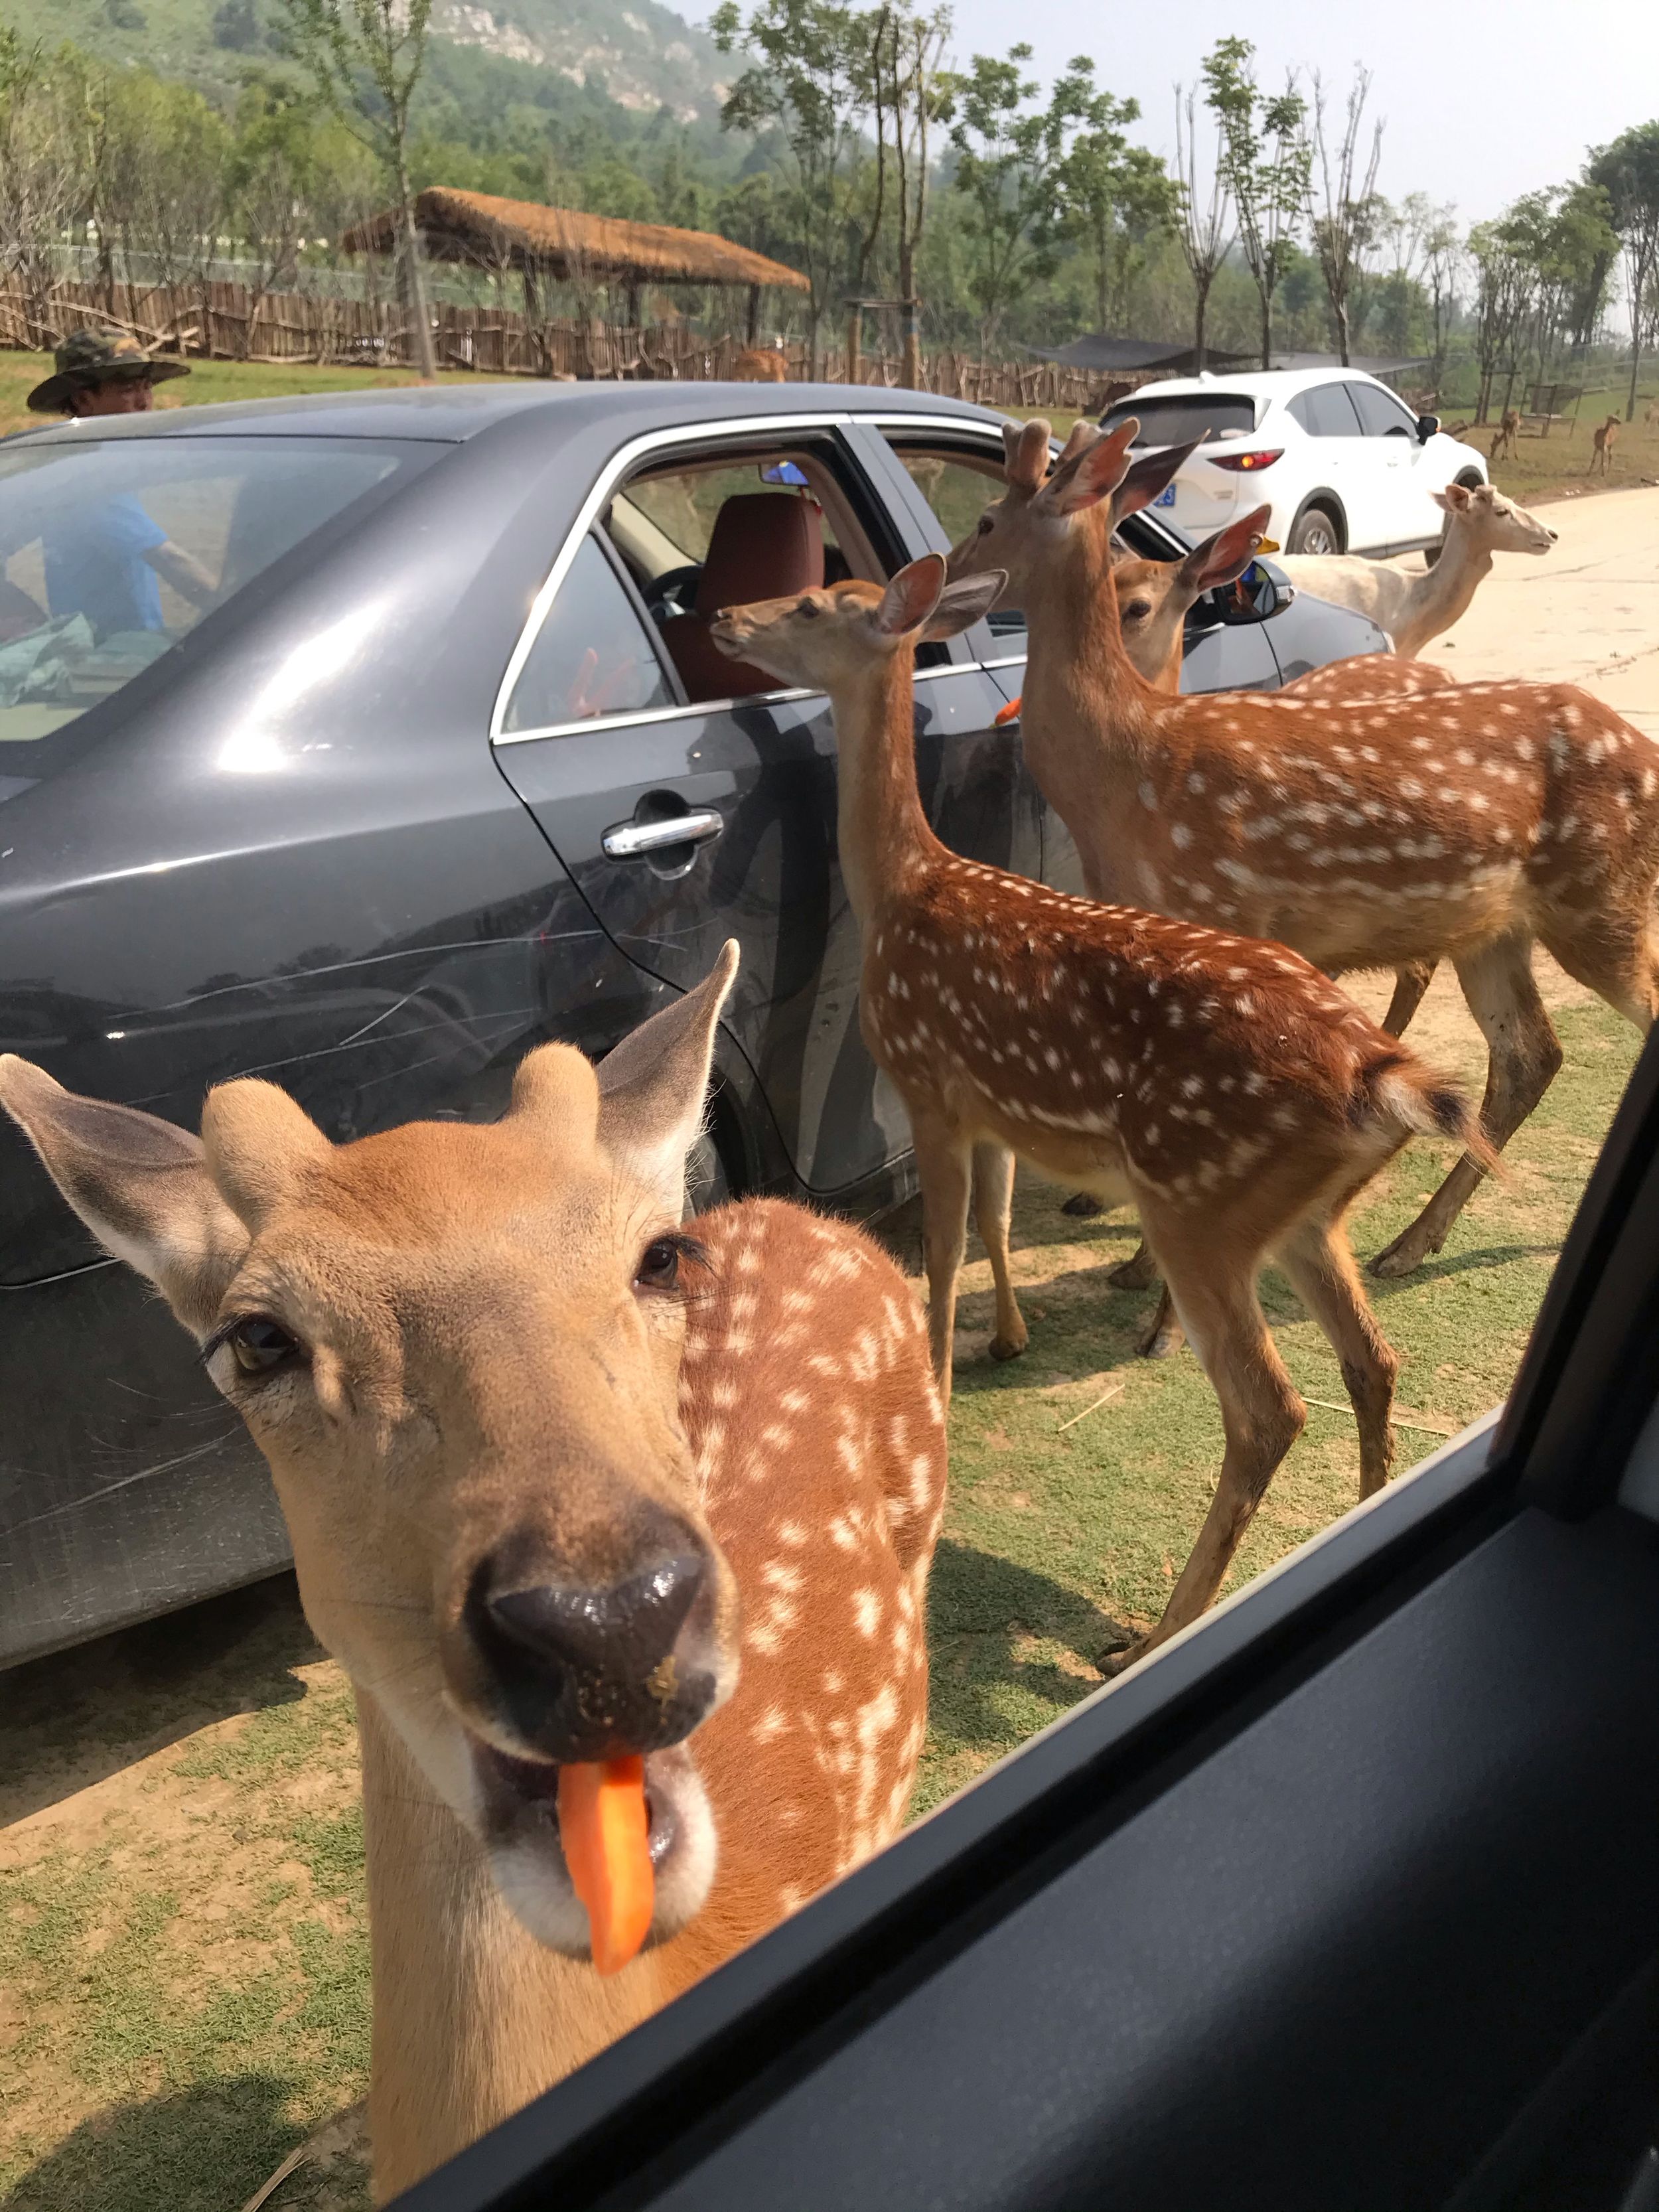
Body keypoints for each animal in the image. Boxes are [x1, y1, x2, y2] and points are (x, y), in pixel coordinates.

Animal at [707, 553, 1486, 1663]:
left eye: (815, 603)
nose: (723, 616)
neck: (906, 885)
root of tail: (1378, 1073)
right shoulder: (989, 1106)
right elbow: (994, 1221)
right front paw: (1005, 1340)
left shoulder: (926, 1078)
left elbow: (937, 1253)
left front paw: (936, 1387)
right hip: (1306, 1217)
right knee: (1372, 1360)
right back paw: (1346, 1523)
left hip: (1199, 1201)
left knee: (1268, 1409)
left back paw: (1156, 1631)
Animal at [946, 415, 1659, 1291]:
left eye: (985, 522)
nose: (944, 575)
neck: (1127, 768)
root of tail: (1648, 754)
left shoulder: (1219, 909)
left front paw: (1143, 1268)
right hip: (1494, 928)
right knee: (1528, 1055)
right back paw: (1409, 1243)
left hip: (1601, 899)